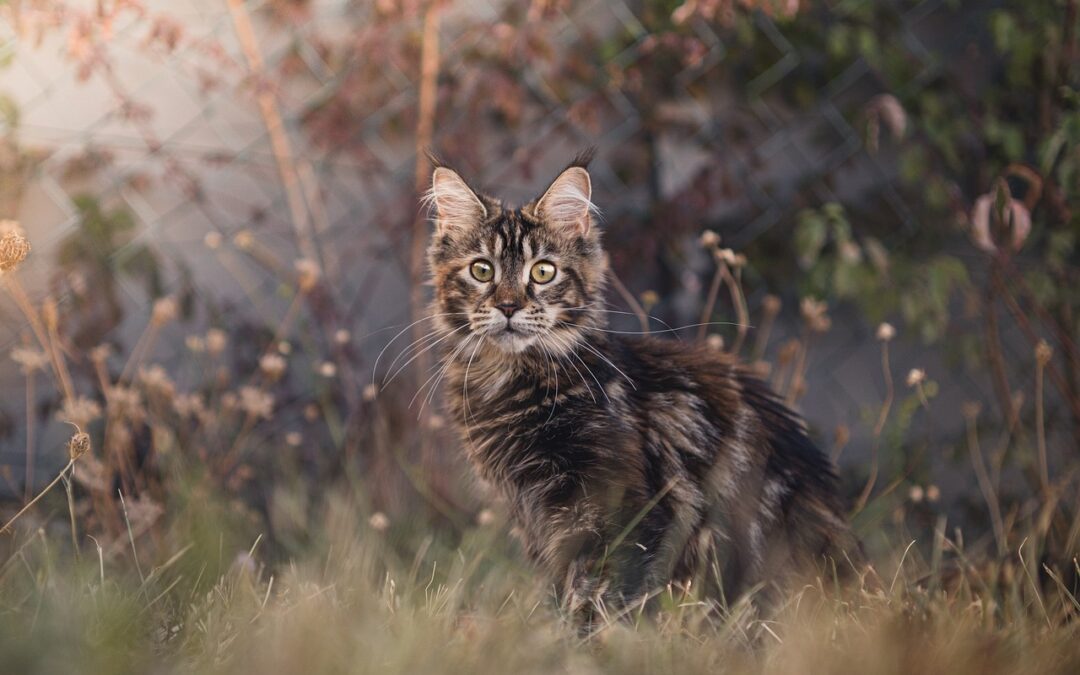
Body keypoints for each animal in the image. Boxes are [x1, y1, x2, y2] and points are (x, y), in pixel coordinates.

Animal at [421, 150, 859, 617]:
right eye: (482, 270)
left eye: (542, 273)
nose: (507, 306)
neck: (512, 383)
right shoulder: (534, 517)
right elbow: (563, 590)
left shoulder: (621, 510)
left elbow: (596, 595)